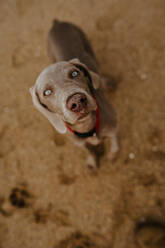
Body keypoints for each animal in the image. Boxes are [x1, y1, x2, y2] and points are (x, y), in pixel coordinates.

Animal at [30, 19, 118, 169]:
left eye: (75, 73)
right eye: (47, 92)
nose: (77, 101)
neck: (87, 127)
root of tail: (57, 22)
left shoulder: (113, 128)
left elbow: (115, 144)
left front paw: (112, 155)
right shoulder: (79, 143)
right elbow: (89, 150)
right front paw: (91, 162)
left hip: (87, 44)